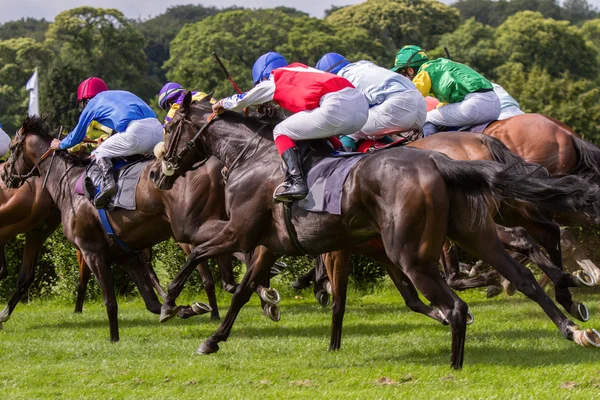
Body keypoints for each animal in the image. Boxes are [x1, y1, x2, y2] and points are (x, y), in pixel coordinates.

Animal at [151, 93, 600, 368]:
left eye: (169, 128)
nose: (158, 173)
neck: (255, 156)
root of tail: (441, 161)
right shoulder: (271, 244)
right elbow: (245, 291)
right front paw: (214, 338)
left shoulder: (241, 233)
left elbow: (198, 253)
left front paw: (173, 303)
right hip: (475, 233)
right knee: (524, 271)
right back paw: (572, 325)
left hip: (415, 251)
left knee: (466, 294)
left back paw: (459, 360)